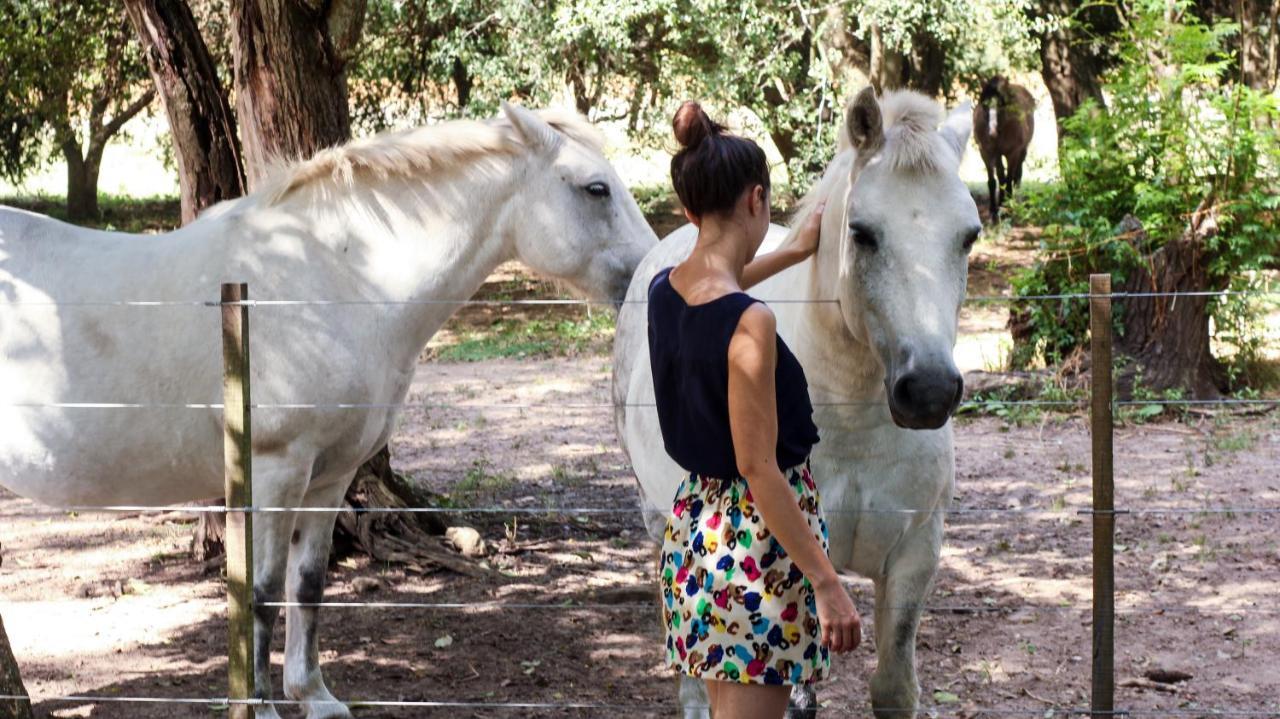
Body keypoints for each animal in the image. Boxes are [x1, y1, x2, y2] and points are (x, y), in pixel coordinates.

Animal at [0, 103, 655, 711]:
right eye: (596, 188)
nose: (650, 276)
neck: (331, 278)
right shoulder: (275, 470)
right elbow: (261, 591)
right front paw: (260, 706)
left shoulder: (331, 474)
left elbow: (308, 583)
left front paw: (312, 694)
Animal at [614, 90, 972, 716]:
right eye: (863, 233)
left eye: (969, 235)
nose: (928, 390)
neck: (852, 418)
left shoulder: (916, 553)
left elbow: (894, 687)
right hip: (655, 522)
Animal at [972, 75, 1034, 221]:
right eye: (984, 105)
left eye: (1001, 104)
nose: (992, 132)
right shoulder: (987, 152)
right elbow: (994, 181)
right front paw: (994, 211)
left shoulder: (1013, 153)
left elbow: (1009, 179)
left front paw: (1007, 209)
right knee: (1002, 177)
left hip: (1022, 152)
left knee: (1016, 177)